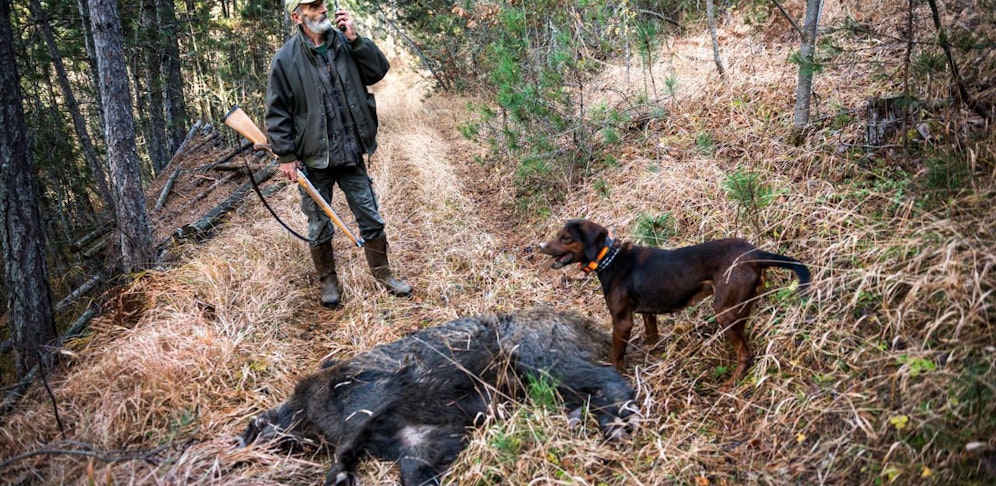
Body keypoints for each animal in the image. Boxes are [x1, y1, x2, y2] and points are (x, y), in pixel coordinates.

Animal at [540, 220, 812, 388]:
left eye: (565, 237)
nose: (538, 246)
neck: (610, 259)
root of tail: (755, 254)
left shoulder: (622, 321)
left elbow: (616, 357)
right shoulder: (647, 315)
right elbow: (653, 339)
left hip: (725, 312)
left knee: (745, 354)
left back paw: (731, 384)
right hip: (740, 307)